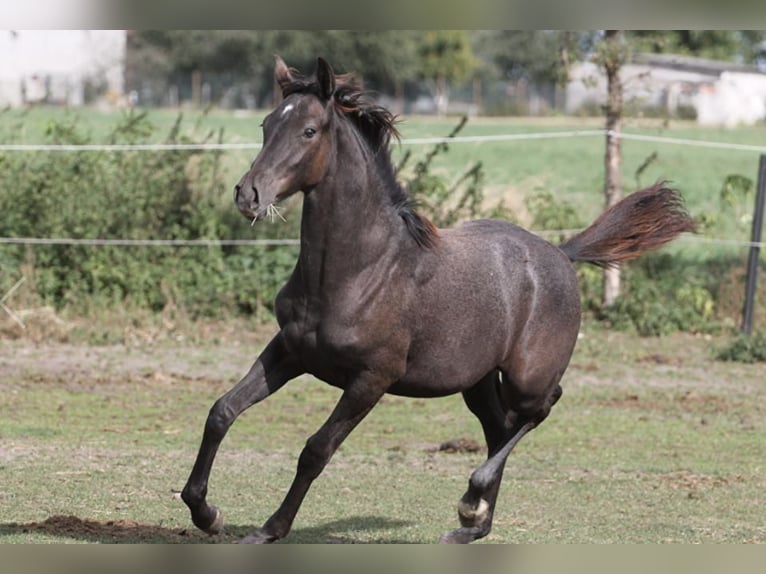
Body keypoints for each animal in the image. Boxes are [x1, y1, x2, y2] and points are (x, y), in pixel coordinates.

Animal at [180, 56, 695, 544]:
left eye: (308, 130)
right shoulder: (289, 352)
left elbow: (315, 450)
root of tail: (561, 253)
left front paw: (269, 529)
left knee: (540, 408)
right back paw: (474, 524)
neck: (360, 271)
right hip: (478, 380)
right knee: (499, 426)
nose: (248, 194)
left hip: (527, 376)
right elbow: (221, 412)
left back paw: (471, 501)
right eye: (266, 125)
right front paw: (206, 513)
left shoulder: (371, 378)